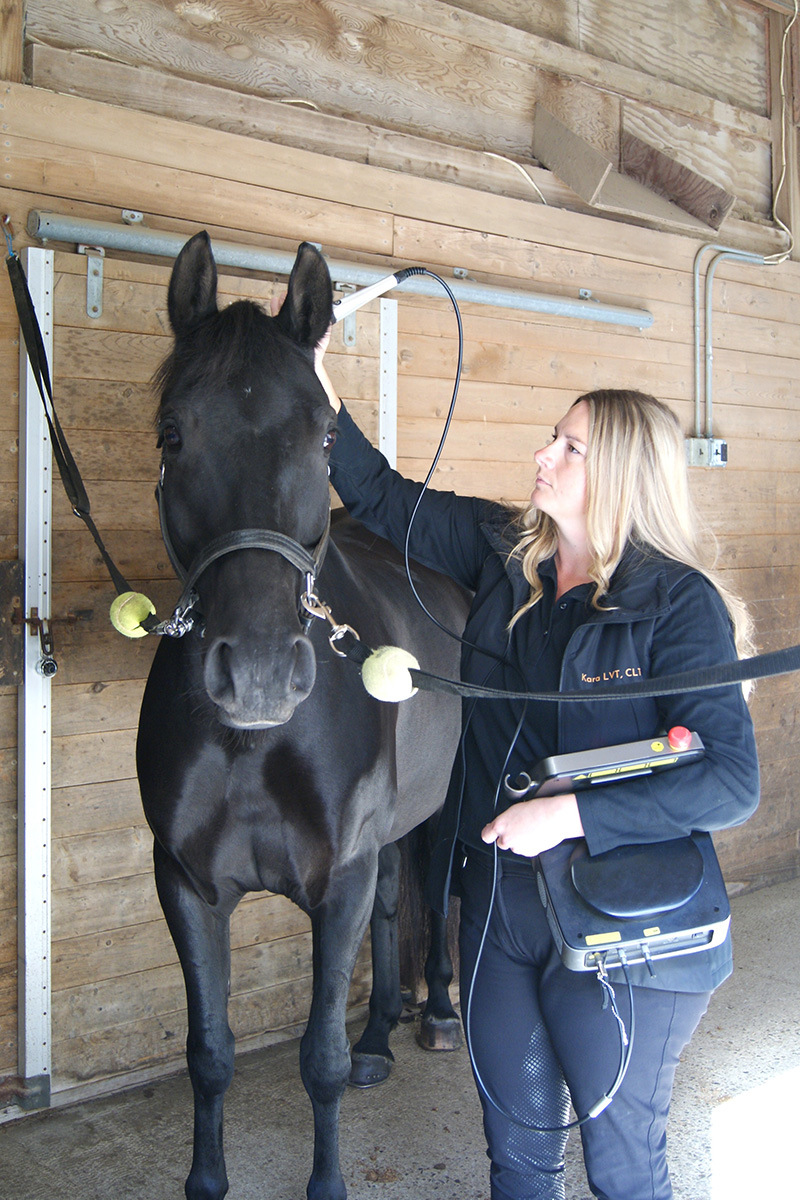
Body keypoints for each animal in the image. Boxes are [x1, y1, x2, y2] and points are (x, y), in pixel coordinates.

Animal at [136, 231, 469, 1200]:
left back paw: (435, 1013)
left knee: (436, 890)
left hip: (446, 811)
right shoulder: (187, 887)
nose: (256, 675)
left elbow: (315, 1061)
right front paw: (206, 1182)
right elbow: (210, 1055)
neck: (257, 744)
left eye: (324, 435)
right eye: (173, 433)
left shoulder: (339, 878)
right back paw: (379, 1036)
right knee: (395, 906)